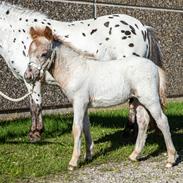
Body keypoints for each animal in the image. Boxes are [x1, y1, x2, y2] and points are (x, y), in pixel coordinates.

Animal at [0, 1, 160, 142]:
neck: (18, 33)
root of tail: (142, 27)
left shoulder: (33, 79)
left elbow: (35, 106)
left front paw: (35, 133)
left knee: (133, 101)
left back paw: (128, 131)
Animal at [24, 26, 177, 170]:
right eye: (28, 53)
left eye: (44, 53)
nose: (28, 76)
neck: (75, 70)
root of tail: (154, 67)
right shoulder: (84, 105)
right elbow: (86, 128)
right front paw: (88, 156)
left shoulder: (79, 103)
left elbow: (77, 129)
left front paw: (73, 162)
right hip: (138, 100)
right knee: (143, 122)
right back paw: (134, 155)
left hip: (150, 99)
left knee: (162, 121)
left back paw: (171, 159)